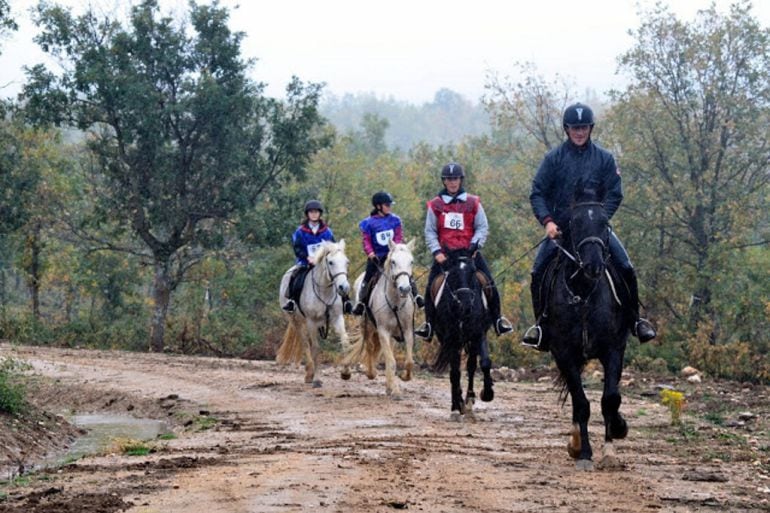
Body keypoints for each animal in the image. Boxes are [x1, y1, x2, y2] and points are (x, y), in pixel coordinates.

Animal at [274, 238, 350, 386]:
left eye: (346, 262)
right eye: (331, 262)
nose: (344, 287)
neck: (325, 292)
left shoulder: (337, 318)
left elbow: (344, 341)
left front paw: (346, 373)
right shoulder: (311, 321)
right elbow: (315, 348)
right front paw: (317, 379)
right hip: (296, 321)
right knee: (305, 343)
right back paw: (309, 373)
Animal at [342, 239, 414, 396]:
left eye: (411, 261)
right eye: (393, 261)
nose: (405, 289)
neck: (395, 302)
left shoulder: (406, 331)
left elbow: (409, 361)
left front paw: (403, 378)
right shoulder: (383, 331)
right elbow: (391, 361)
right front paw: (395, 390)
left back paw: (388, 386)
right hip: (366, 325)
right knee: (369, 346)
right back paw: (370, 373)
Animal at [432, 248, 492, 420]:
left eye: (473, 271)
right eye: (453, 273)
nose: (465, 304)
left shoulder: (478, 334)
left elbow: (482, 363)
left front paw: (485, 394)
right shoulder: (451, 339)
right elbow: (455, 372)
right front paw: (456, 407)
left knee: (470, 366)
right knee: (456, 369)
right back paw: (458, 403)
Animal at [544, 183, 628, 468]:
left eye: (604, 222)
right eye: (576, 222)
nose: (594, 265)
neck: (583, 292)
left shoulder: (613, 349)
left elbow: (610, 399)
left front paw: (613, 441)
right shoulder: (564, 353)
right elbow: (581, 403)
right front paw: (585, 452)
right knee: (574, 395)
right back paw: (576, 443)